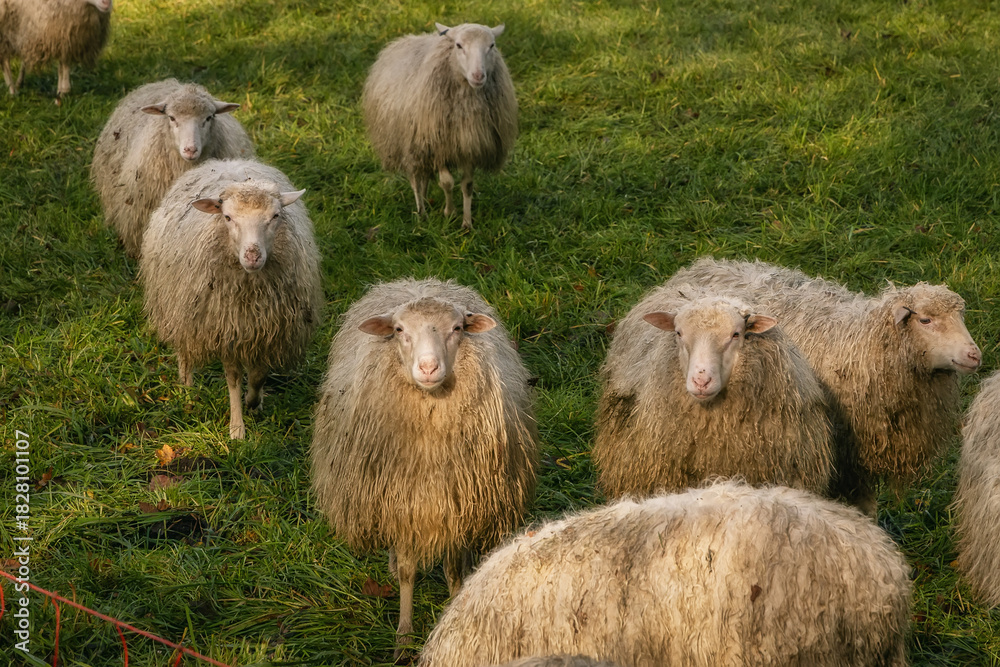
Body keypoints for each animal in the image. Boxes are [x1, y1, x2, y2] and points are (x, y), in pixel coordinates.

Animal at [139, 158, 322, 440]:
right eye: (227, 217)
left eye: (275, 216)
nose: (253, 256)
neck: (249, 291)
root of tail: (228, 162)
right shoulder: (225, 329)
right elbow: (234, 378)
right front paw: (237, 429)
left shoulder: (268, 330)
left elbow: (258, 375)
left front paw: (254, 402)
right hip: (180, 307)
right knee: (185, 351)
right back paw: (187, 390)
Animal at [310, 277, 538, 655]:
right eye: (399, 330)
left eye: (457, 328)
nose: (429, 368)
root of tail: (418, 282)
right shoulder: (401, 505)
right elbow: (407, 572)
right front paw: (403, 638)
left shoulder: (458, 504)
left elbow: (453, 571)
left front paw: (454, 609)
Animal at [362, 22, 517, 229]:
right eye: (458, 45)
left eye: (491, 45)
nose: (478, 75)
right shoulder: (438, 146)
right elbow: (447, 183)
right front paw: (449, 213)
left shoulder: (468, 146)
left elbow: (467, 185)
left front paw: (467, 223)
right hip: (409, 144)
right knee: (416, 179)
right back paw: (421, 213)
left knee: (425, 176)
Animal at [667, 257, 981, 513]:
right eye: (926, 320)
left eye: (961, 317)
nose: (974, 355)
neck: (863, 343)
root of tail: (703, 264)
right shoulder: (843, 446)